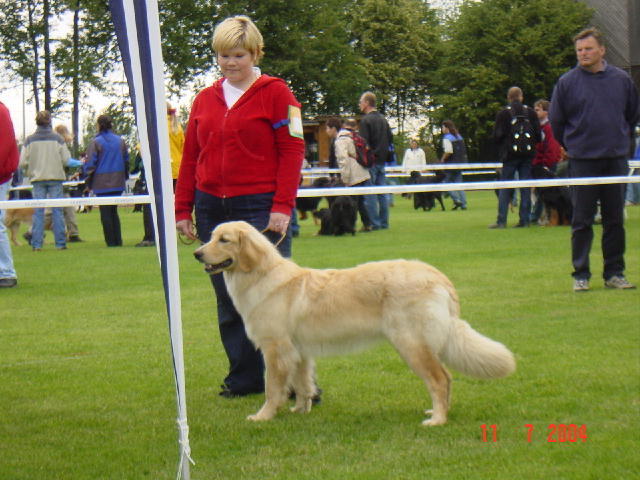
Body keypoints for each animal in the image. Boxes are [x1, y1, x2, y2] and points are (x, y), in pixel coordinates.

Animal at [194, 221, 516, 428]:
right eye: (210, 236)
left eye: (224, 240)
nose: (197, 253)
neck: (260, 276)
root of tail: (437, 276)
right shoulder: (299, 351)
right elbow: (303, 383)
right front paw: (301, 410)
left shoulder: (276, 349)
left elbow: (272, 388)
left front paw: (263, 416)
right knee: (444, 381)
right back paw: (441, 412)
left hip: (411, 344)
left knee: (441, 379)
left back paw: (437, 419)